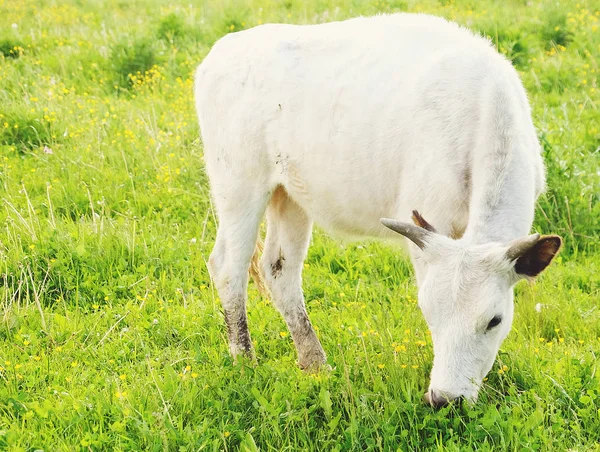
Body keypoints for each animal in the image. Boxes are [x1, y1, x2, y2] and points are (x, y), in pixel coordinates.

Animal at [193, 14, 564, 408]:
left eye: (495, 320)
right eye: (428, 312)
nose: (445, 399)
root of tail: (223, 49)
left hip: (289, 196)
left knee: (279, 270)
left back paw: (315, 364)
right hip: (238, 185)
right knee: (228, 266)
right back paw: (245, 362)